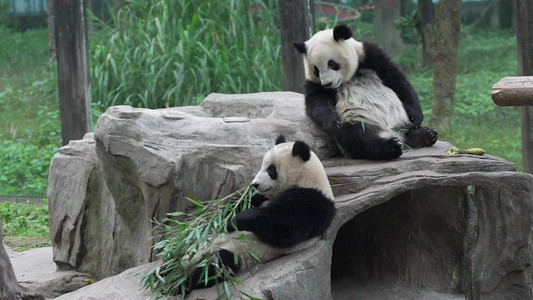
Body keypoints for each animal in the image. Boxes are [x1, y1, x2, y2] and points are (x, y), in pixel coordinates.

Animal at [189, 137, 334, 290]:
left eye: (271, 169)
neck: (307, 178)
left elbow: (284, 227)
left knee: (213, 267)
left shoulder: (314, 203)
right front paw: (221, 218)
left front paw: (232, 222)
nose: (254, 184)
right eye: (261, 166)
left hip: (236, 253)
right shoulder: (260, 197)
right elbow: (239, 203)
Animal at [290, 24, 436, 161]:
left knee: (408, 130)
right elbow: (317, 102)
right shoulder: (314, 83)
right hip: (360, 120)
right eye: (316, 69)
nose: (327, 84)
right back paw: (392, 147)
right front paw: (333, 123)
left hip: (400, 120)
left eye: (332, 63)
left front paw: (416, 115)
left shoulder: (368, 55)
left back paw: (424, 135)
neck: (349, 77)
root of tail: (393, 133)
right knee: (357, 137)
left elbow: (397, 80)